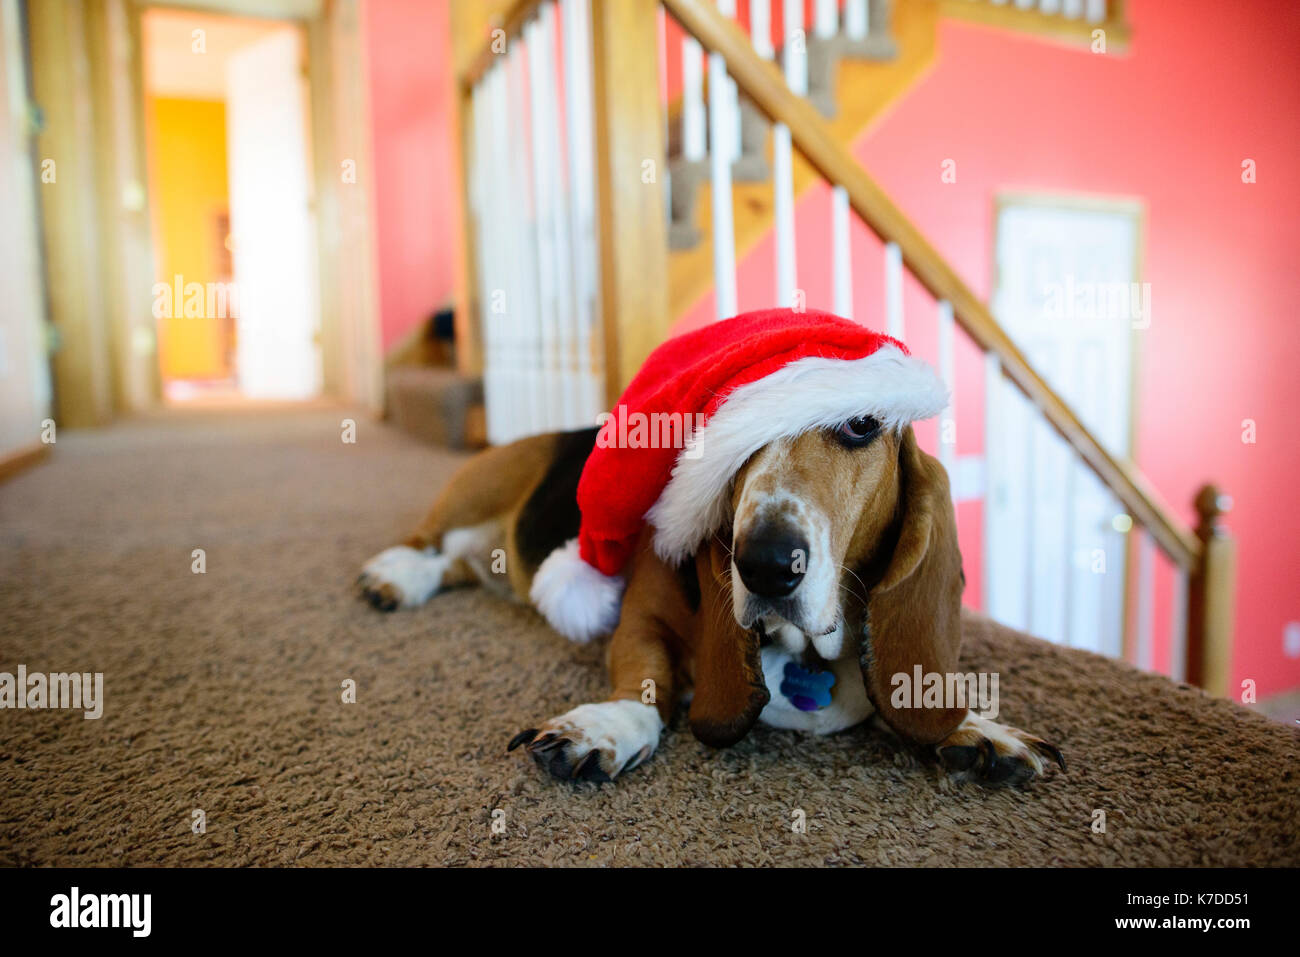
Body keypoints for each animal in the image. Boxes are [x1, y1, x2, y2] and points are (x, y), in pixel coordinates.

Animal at [356, 310, 1066, 790]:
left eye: (862, 424)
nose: (766, 566)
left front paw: (979, 729)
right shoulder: (641, 618)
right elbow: (648, 682)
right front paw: (605, 726)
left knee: (457, 562)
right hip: (479, 486)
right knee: (428, 542)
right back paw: (394, 576)